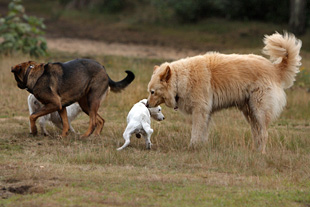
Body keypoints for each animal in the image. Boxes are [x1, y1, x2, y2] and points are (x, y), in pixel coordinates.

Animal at [147, 31, 302, 153]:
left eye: (153, 92)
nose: (147, 105)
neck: (181, 79)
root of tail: (274, 69)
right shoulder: (206, 114)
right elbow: (203, 134)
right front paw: (200, 148)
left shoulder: (200, 111)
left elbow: (196, 133)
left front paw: (192, 148)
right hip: (250, 113)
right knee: (257, 134)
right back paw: (255, 152)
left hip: (259, 111)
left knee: (264, 134)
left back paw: (261, 154)